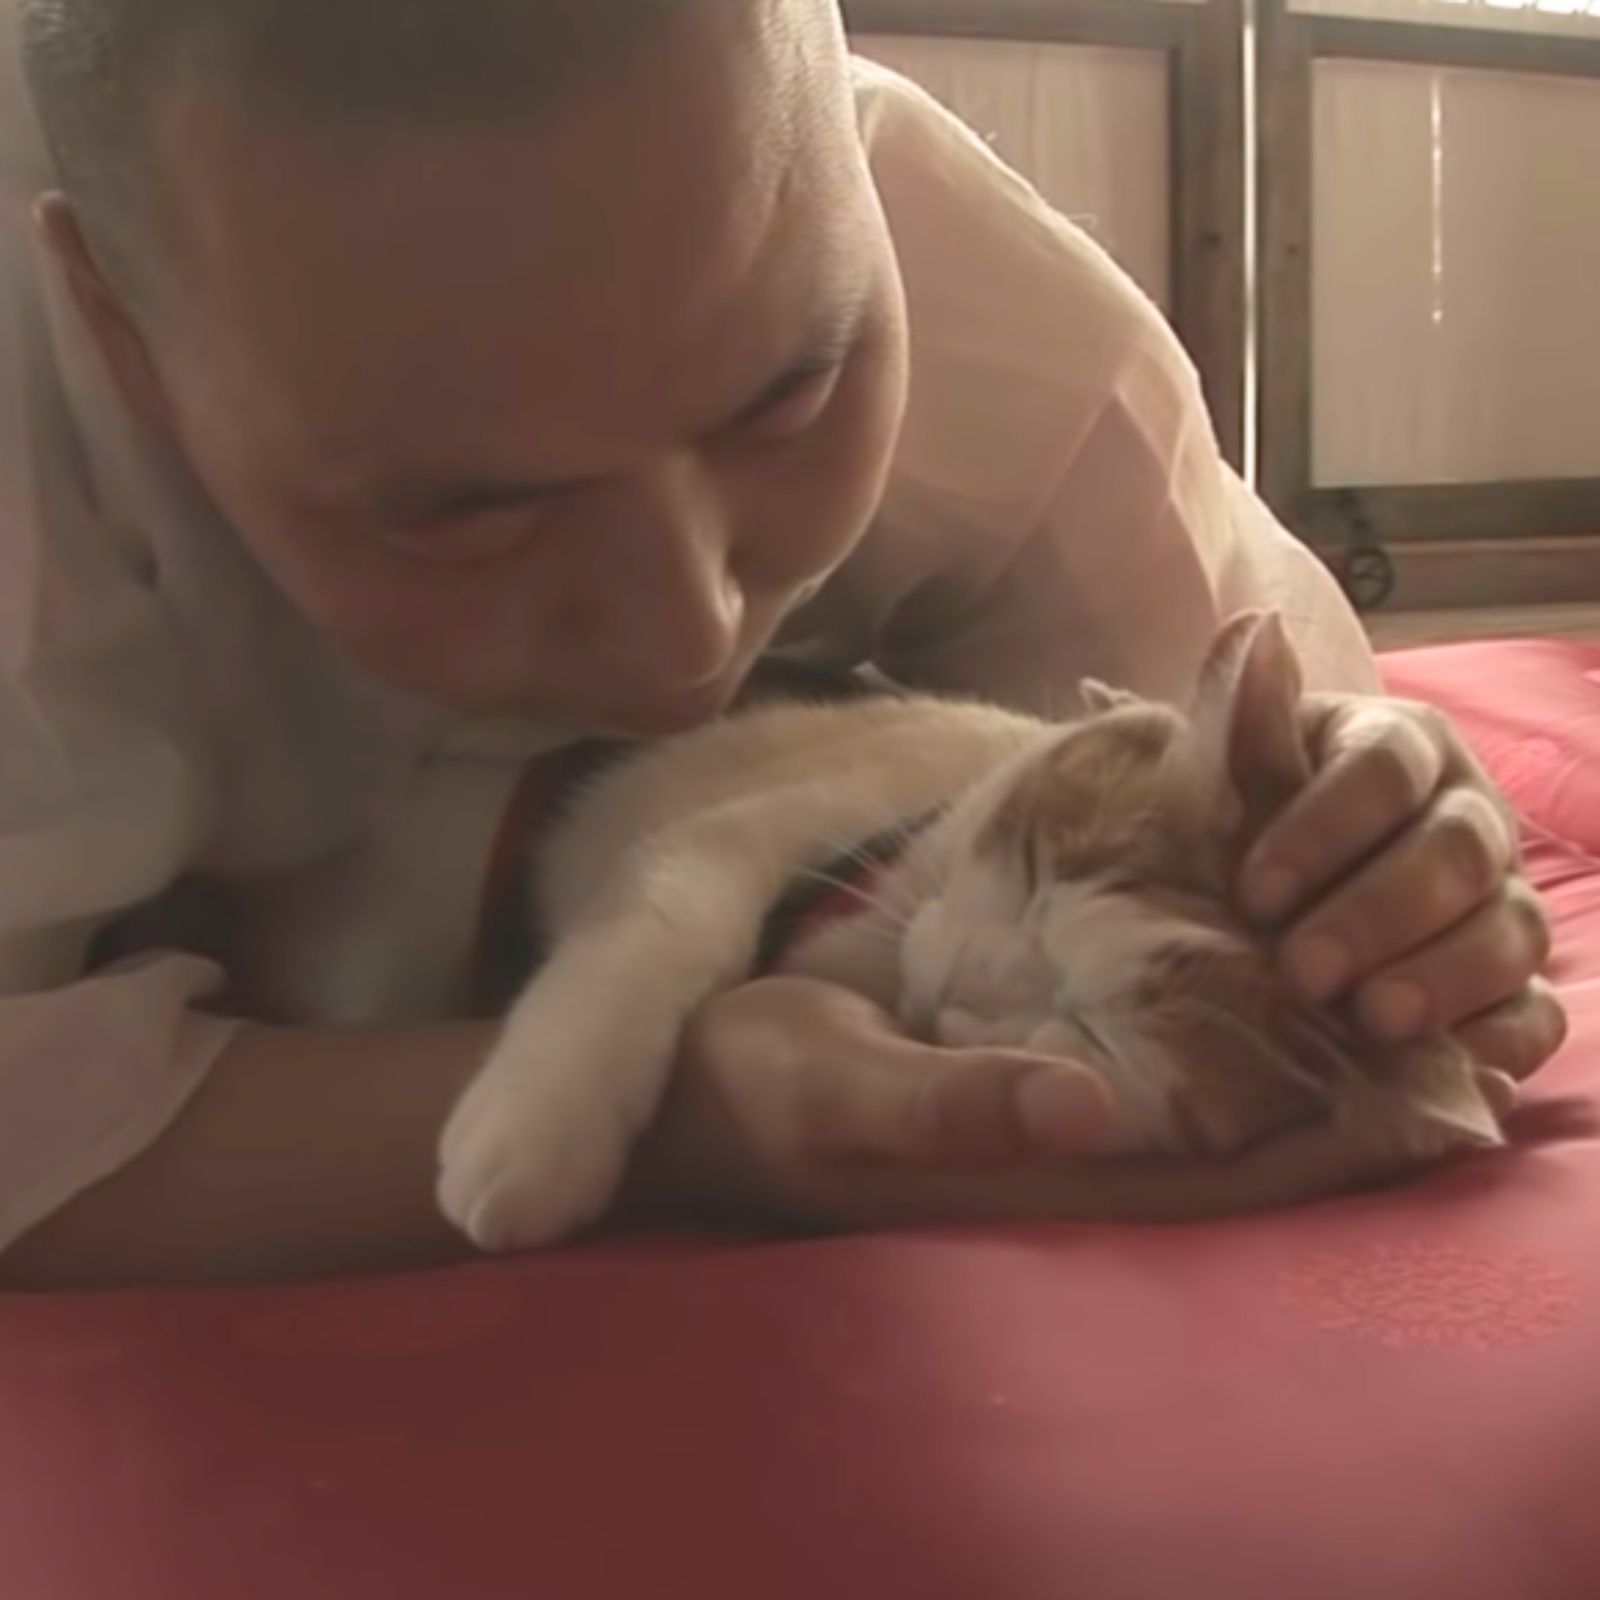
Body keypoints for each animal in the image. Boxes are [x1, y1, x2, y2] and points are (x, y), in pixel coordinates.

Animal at [438, 611, 1497, 1248]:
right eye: (1031, 870)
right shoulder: (744, 829)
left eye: (1095, 1031)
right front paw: (537, 1126)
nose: (961, 985)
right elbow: (668, 906)